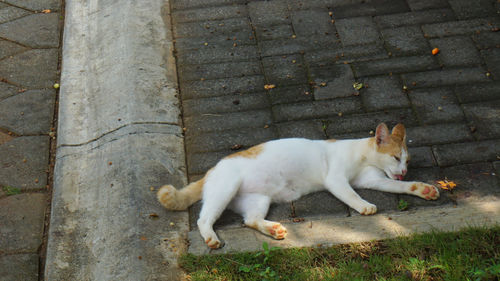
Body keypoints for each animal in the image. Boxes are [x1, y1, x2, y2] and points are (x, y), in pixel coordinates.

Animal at [156, 122, 438, 247]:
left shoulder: (373, 179)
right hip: (226, 189)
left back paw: (274, 230)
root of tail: (212, 169)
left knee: (250, 220)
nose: (404, 170)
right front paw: (364, 205)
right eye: (396, 157)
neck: (362, 156)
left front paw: (422, 188)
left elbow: (398, 187)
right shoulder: (336, 179)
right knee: (203, 219)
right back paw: (212, 238)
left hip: (258, 200)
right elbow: (351, 195)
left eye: (407, 160)